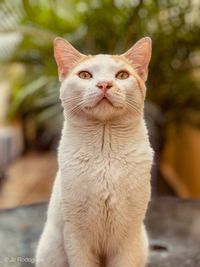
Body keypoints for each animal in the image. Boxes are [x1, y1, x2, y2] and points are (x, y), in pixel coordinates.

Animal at [36, 36, 152, 267]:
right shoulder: (75, 235)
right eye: (85, 75)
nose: (104, 84)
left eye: (122, 75)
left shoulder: (128, 237)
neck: (105, 153)